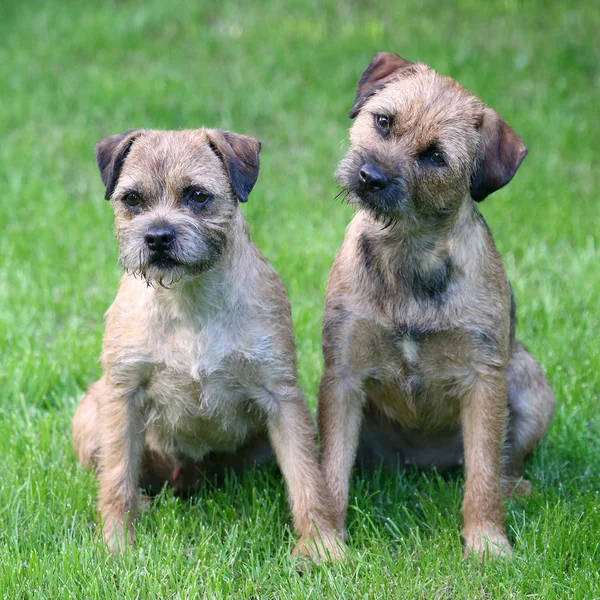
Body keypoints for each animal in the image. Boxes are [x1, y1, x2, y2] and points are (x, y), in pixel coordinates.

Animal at [72, 127, 342, 564]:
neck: (189, 302)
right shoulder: (124, 395)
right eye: (132, 199)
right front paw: (115, 544)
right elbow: (116, 477)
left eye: (197, 195)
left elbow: (306, 478)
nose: (158, 236)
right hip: (90, 414)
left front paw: (323, 545)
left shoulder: (281, 395)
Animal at [322, 54, 556, 556]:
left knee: (502, 467)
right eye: (383, 122)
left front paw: (487, 543)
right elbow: (329, 470)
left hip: (529, 384)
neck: (406, 251)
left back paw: (518, 490)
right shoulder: (343, 374)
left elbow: (483, 473)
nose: (370, 177)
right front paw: (322, 545)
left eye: (434, 156)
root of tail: (423, 464)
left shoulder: (484, 377)